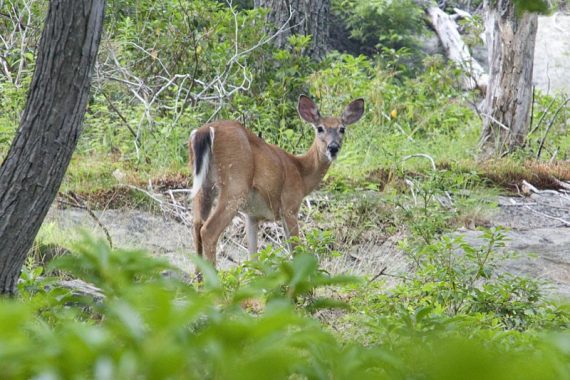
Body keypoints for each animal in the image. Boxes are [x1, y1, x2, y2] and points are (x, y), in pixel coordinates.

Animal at [187, 94, 364, 268]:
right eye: (320, 128)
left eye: (342, 129)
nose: (333, 148)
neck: (301, 173)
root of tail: (205, 131)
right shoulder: (289, 206)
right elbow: (296, 251)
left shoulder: (252, 215)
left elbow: (253, 258)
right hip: (235, 185)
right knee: (208, 231)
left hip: (204, 186)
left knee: (196, 226)